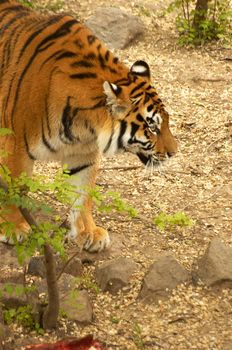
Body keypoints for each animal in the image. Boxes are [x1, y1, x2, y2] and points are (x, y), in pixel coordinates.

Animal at [0, 0, 178, 252]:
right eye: (152, 127)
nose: (174, 153)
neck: (84, 125)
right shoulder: (14, 144)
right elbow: (14, 188)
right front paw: (13, 227)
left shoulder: (83, 152)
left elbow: (83, 192)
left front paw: (88, 232)